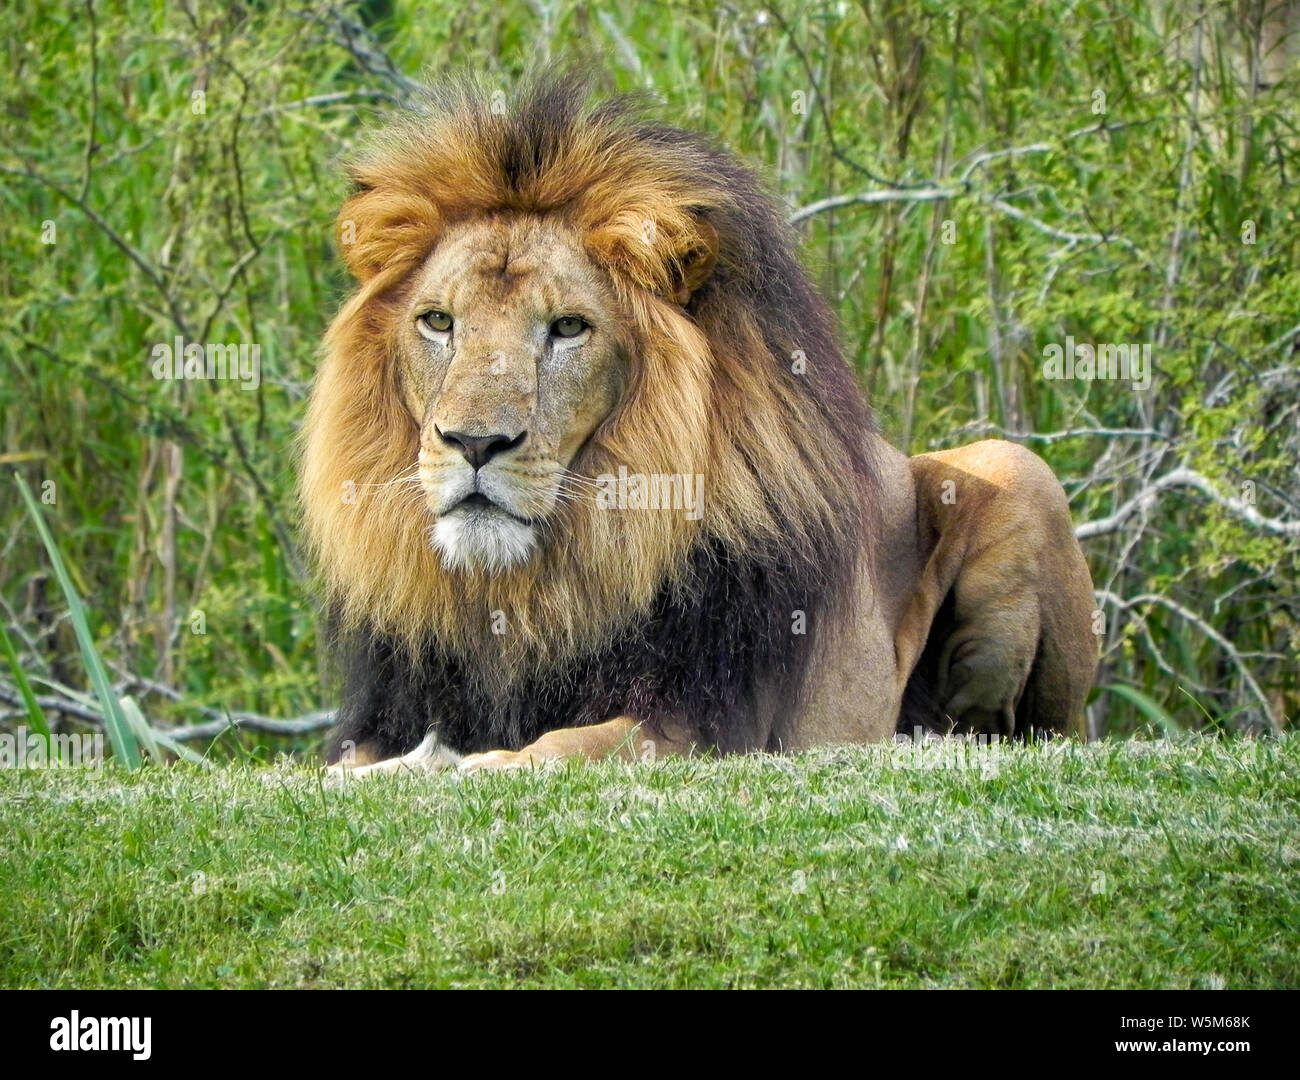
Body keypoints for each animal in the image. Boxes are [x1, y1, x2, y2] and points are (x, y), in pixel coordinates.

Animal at [301, 71, 1097, 779]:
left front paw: (487, 762)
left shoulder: (714, 724)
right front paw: (398, 767)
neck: (536, 582)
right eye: (438, 322)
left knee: (1005, 730)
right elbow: (350, 761)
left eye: (568, 328)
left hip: (1018, 471)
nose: (474, 443)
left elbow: (580, 741)